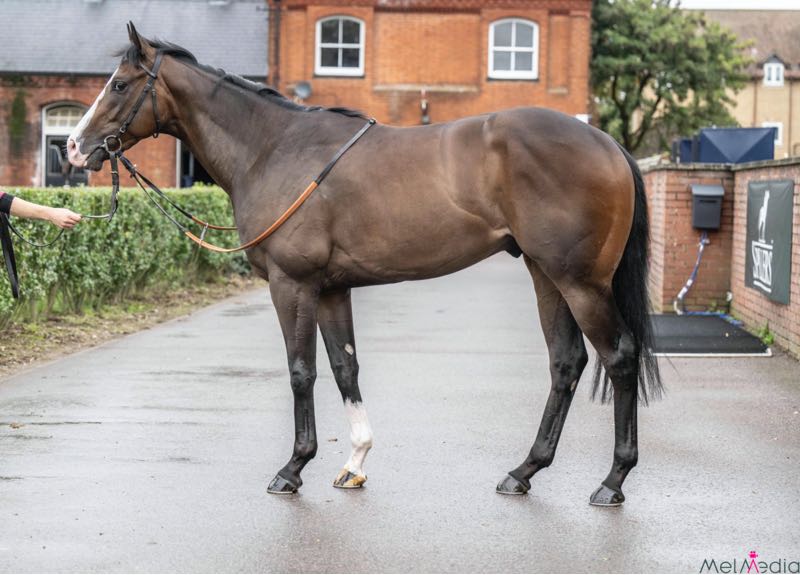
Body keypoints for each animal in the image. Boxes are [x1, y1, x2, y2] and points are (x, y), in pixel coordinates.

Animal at [67, 23, 661, 506]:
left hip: (580, 282)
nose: (72, 147)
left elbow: (301, 371)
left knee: (619, 357)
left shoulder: (292, 285)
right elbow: (344, 367)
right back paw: (523, 472)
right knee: (566, 363)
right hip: (545, 274)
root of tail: (608, 143)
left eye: (119, 84)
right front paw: (354, 462)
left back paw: (612, 481)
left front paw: (293, 468)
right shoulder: (332, 288)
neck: (274, 148)